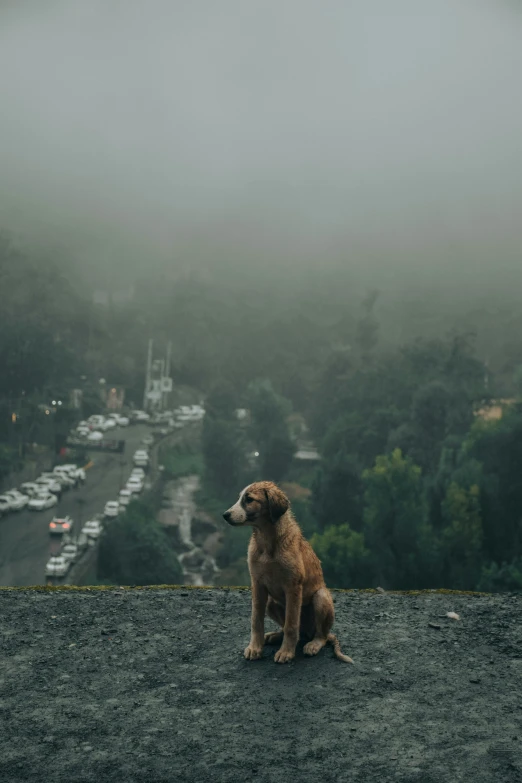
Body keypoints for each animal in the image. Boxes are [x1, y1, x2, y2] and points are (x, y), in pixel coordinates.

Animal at [221, 480, 352, 664]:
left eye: (249, 499)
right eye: (240, 498)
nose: (225, 515)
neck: (267, 541)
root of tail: (308, 633)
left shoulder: (293, 586)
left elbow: (291, 623)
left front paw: (286, 652)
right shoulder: (257, 584)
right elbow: (256, 620)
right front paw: (255, 647)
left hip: (320, 598)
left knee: (320, 634)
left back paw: (313, 644)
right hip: (270, 602)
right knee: (290, 629)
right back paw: (274, 636)